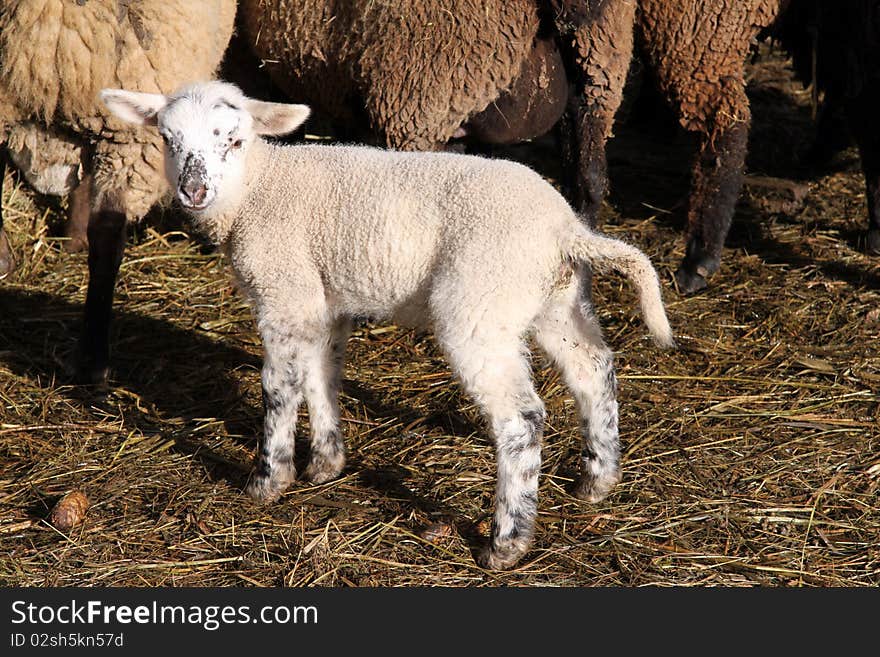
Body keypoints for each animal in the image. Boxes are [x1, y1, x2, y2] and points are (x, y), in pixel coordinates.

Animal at [101, 79, 672, 568]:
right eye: (168, 139)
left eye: (234, 140)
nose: (193, 192)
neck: (260, 187)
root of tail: (565, 229)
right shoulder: (324, 299)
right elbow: (322, 377)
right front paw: (326, 462)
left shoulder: (285, 291)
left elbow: (279, 388)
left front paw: (269, 480)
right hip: (554, 300)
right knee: (593, 369)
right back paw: (598, 480)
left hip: (480, 305)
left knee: (522, 420)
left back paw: (506, 542)